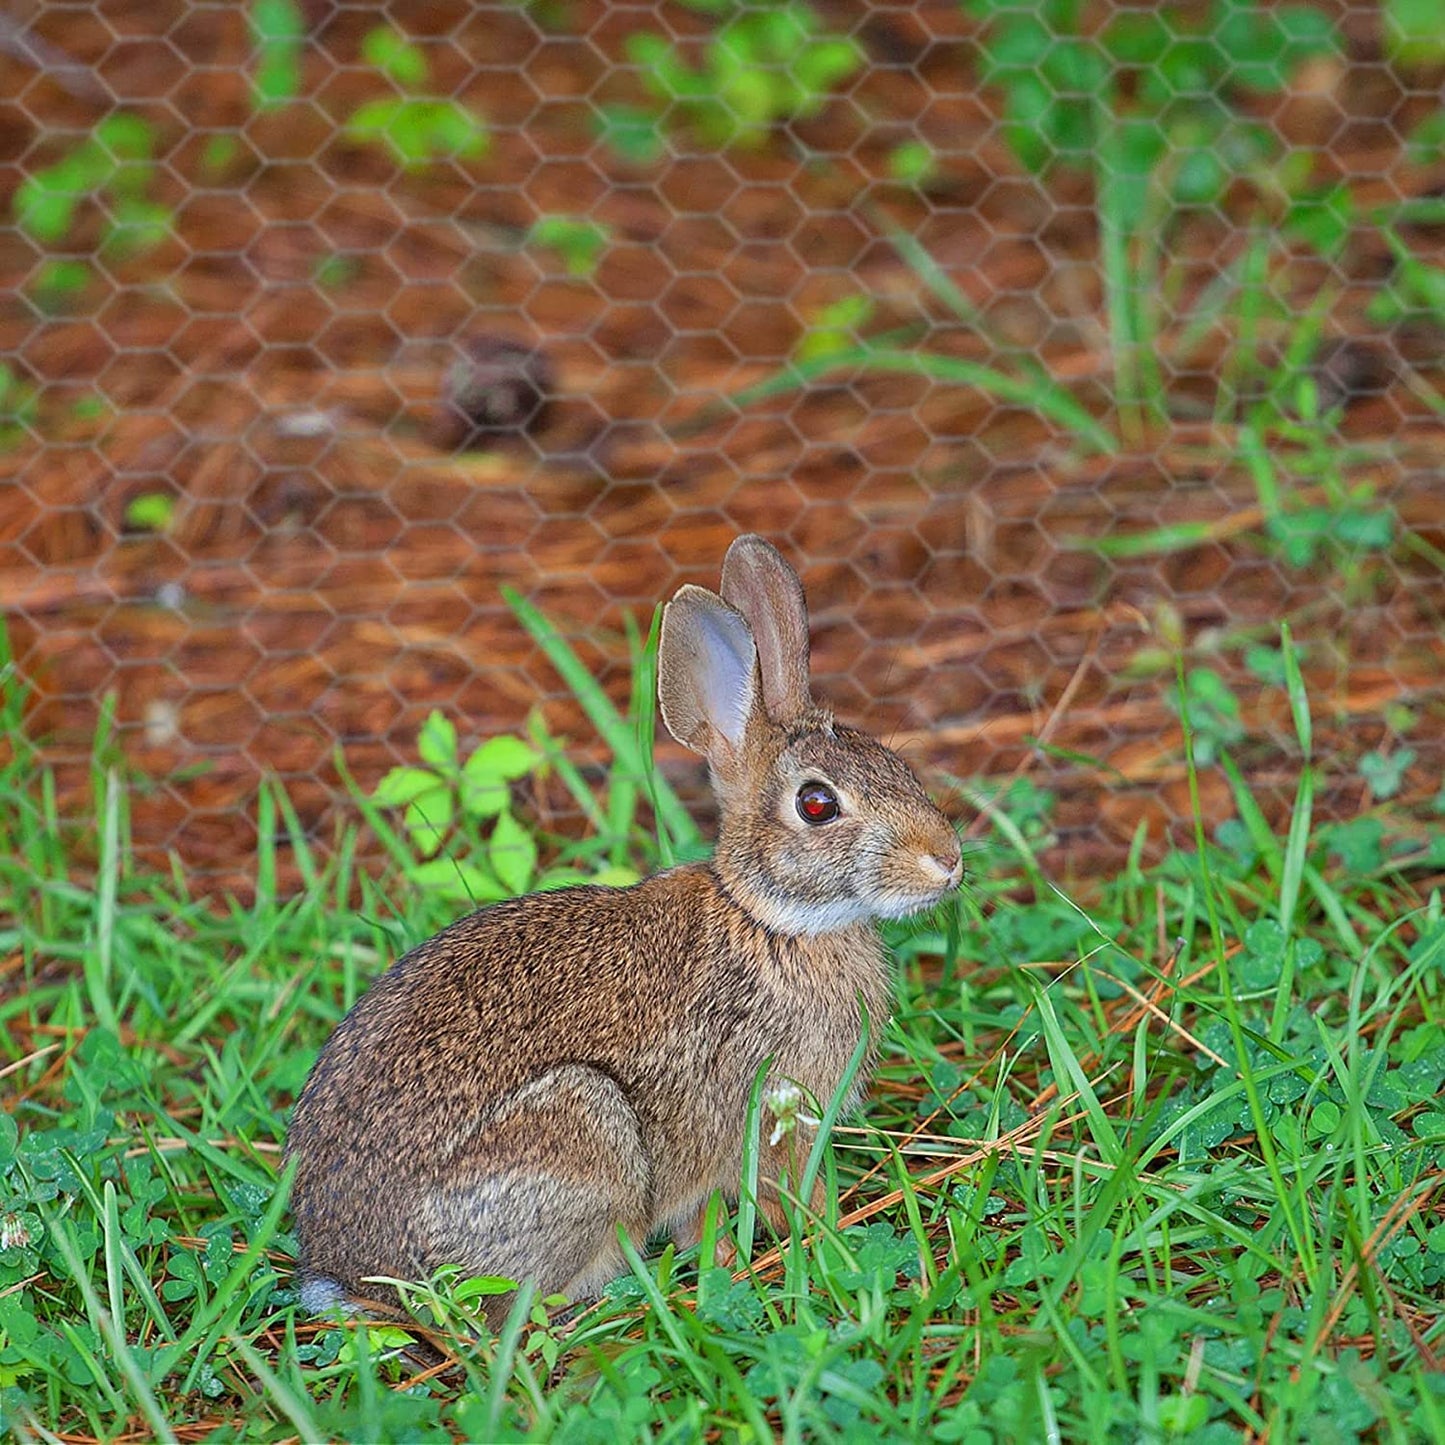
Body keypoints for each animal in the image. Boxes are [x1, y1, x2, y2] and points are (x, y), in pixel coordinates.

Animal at [285, 534, 963, 1326]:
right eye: (817, 805)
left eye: (895, 762)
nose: (948, 861)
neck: (769, 919)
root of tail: (346, 1268)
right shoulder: (768, 1116)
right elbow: (779, 1197)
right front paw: (821, 1243)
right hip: (585, 1129)